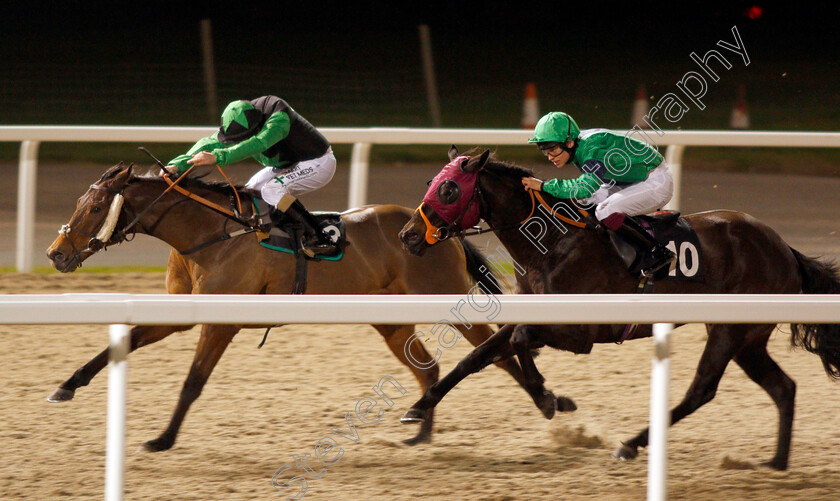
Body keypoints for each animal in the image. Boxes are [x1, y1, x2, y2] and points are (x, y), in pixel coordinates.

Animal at [44, 163, 540, 450]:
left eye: (94, 208)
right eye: (82, 203)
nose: (55, 253)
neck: (210, 234)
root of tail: (435, 229)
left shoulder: (221, 323)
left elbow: (192, 383)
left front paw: (163, 439)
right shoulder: (182, 314)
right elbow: (122, 342)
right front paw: (66, 386)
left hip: (446, 298)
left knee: (497, 353)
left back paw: (546, 404)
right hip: (389, 319)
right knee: (430, 368)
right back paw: (420, 429)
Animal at [398, 146, 840, 468]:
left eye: (449, 189)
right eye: (431, 183)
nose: (408, 235)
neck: (553, 244)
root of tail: (783, 247)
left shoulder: (579, 332)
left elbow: (521, 341)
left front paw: (549, 398)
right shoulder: (536, 312)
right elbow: (478, 356)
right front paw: (418, 408)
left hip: (732, 330)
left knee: (702, 389)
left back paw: (631, 443)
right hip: (747, 337)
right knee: (783, 387)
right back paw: (776, 462)